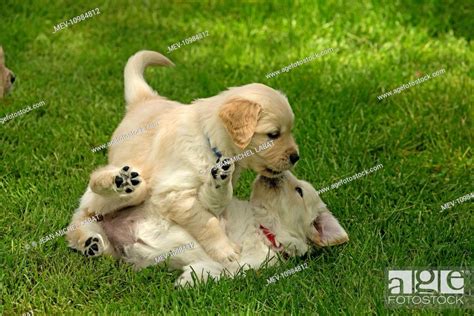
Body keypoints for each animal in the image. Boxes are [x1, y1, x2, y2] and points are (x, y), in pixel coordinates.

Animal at [65, 50, 300, 262]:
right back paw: (117, 184)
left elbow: (219, 199)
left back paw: (92, 242)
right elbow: (206, 223)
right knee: (90, 198)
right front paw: (225, 251)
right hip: (134, 187)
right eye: (273, 134)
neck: (209, 140)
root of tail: (145, 98)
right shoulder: (173, 193)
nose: (296, 157)